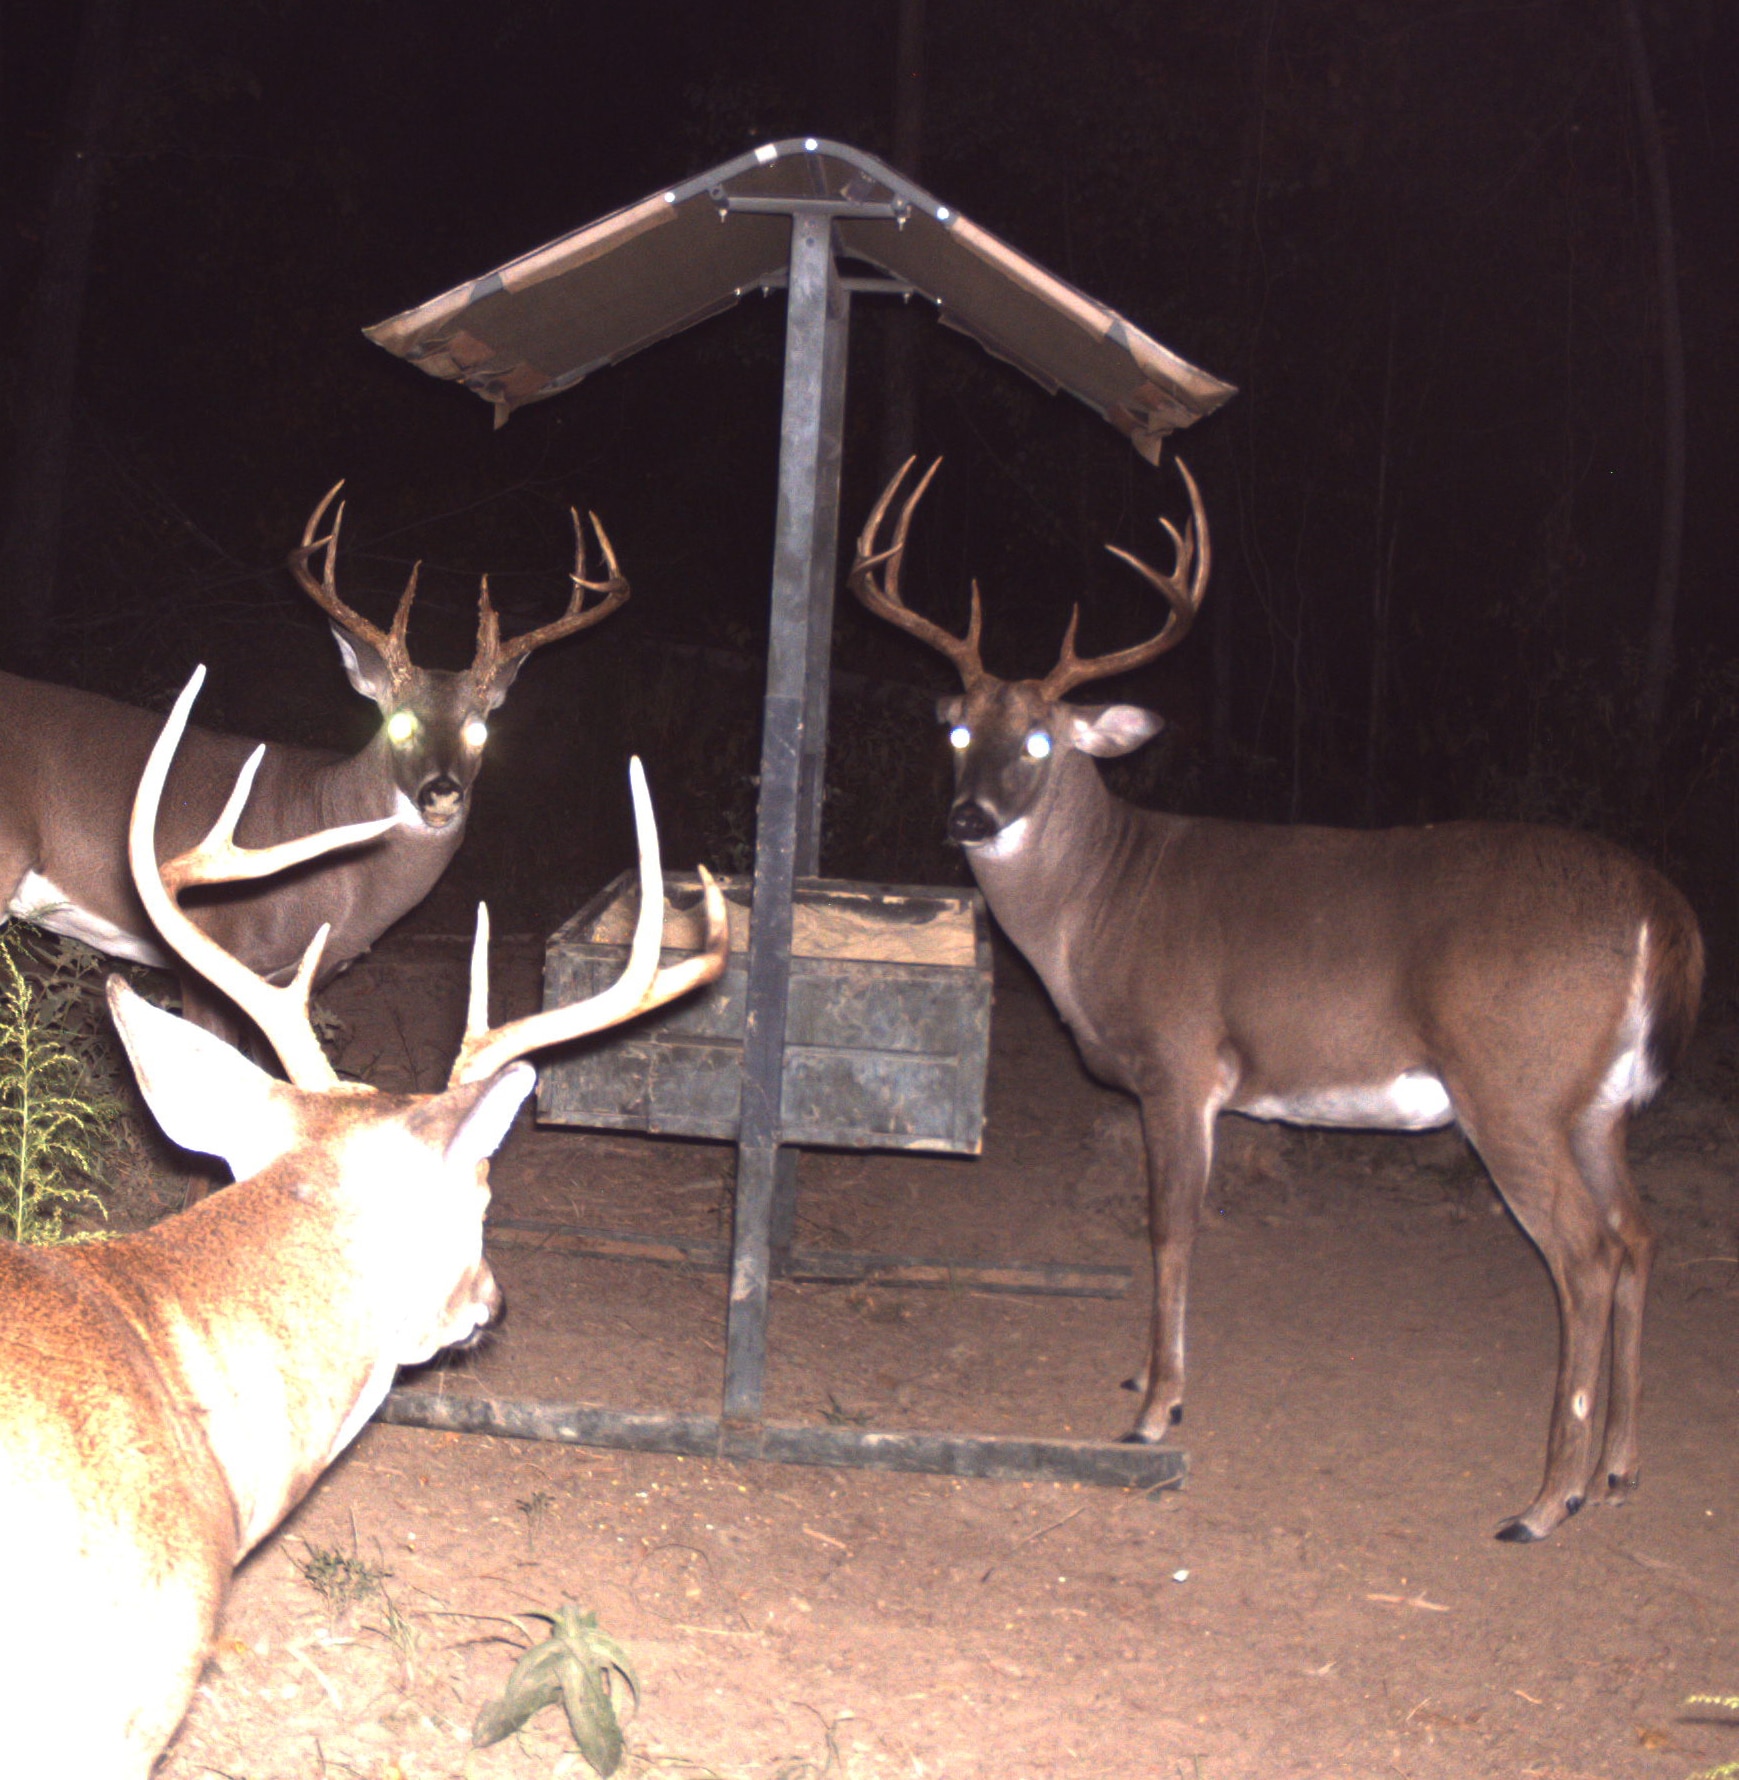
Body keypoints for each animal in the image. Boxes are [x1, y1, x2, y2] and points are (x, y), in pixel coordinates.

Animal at [847, 459, 1701, 1545]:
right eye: (958, 729)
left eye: (1039, 740)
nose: (967, 816)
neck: (1093, 908)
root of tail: (1658, 911)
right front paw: (1146, 1380)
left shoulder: (1175, 1061)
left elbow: (1169, 1227)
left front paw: (1154, 1408)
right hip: (1594, 1103)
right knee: (1637, 1232)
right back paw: (1620, 1468)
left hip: (1511, 1085)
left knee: (1584, 1255)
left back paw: (1548, 1500)